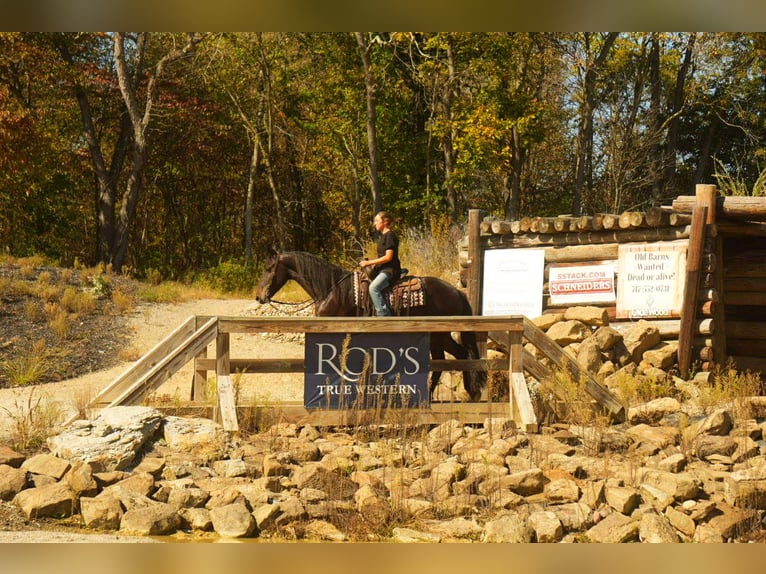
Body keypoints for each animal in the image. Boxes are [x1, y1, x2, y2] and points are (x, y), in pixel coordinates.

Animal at [254, 247, 486, 401]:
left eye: (269, 268)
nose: (259, 296)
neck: (332, 289)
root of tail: (456, 291)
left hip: (438, 334)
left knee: (447, 360)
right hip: (441, 336)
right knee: (457, 356)